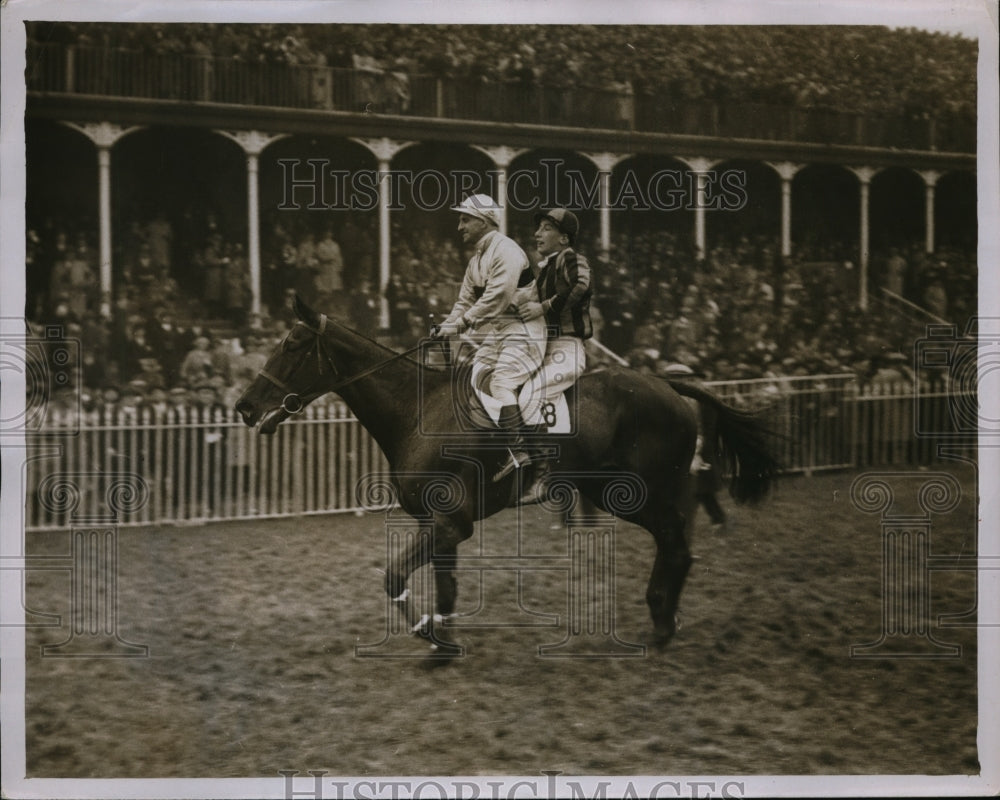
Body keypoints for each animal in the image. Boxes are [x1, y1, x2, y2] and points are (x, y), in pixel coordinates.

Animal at [236, 296, 780, 660]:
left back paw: (663, 622)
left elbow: (394, 577)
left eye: (292, 344)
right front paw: (443, 641)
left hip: (639, 493)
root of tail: (667, 383)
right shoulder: (439, 526)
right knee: (674, 541)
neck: (418, 409)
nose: (244, 407)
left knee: (677, 542)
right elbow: (446, 587)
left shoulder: (450, 523)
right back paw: (661, 615)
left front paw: (427, 633)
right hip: (612, 491)